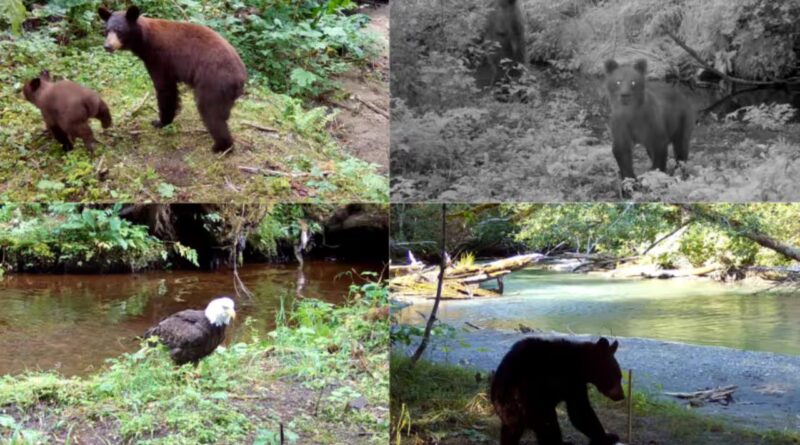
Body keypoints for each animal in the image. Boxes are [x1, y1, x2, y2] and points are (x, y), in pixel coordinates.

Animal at [98, 5, 247, 153]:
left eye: (119, 31)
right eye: (107, 30)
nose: (107, 46)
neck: (144, 40)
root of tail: (240, 77)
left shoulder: (159, 58)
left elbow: (164, 88)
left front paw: (161, 122)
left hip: (213, 82)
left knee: (211, 111)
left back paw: (221, 146)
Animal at [491, 337, 624, 445]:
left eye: (620, 376)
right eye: (616, 375)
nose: (622, 395)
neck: (581, 364)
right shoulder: (572, 380)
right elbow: (580, 411)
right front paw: (608, 437)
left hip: (510, 413)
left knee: (510, 433)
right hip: (534, 401)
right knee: (549, 426)